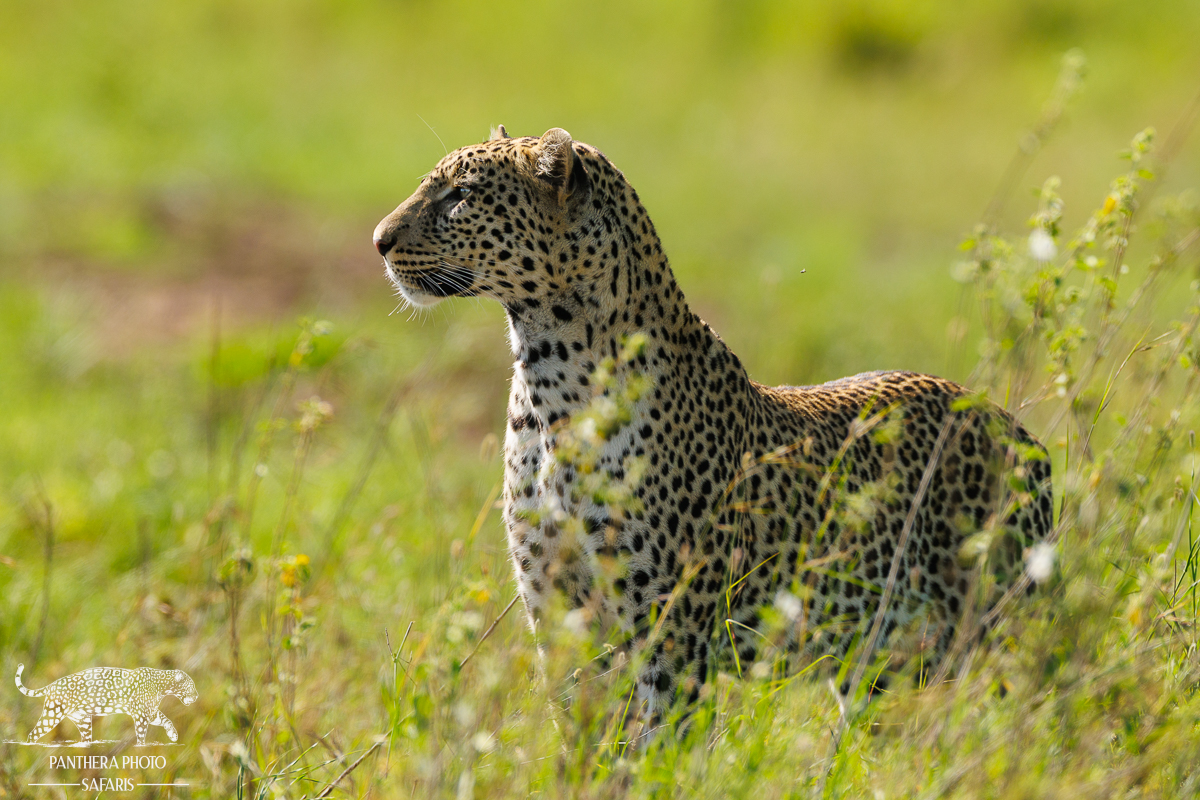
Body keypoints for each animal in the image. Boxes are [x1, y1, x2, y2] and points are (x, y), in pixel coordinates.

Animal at [16, 663, 198, 745]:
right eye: (191, 686)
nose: (197, 697)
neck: (162, 686)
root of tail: (52, 685)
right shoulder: (141, 715)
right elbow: (141, 733)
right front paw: (142, 746)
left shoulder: (150, 712)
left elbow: (166, 720)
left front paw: (173, 735)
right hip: (53, 714)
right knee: (34, 734)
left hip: (82, 720)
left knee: (85, 739)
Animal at [373, 126, 1053, 723]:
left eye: (461, 195)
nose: (379, 240)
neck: (547, 387)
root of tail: (1018, 430)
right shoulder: (559, 613)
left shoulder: (671, 637)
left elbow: (655, 754)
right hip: (878, 665)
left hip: (1002, 633)